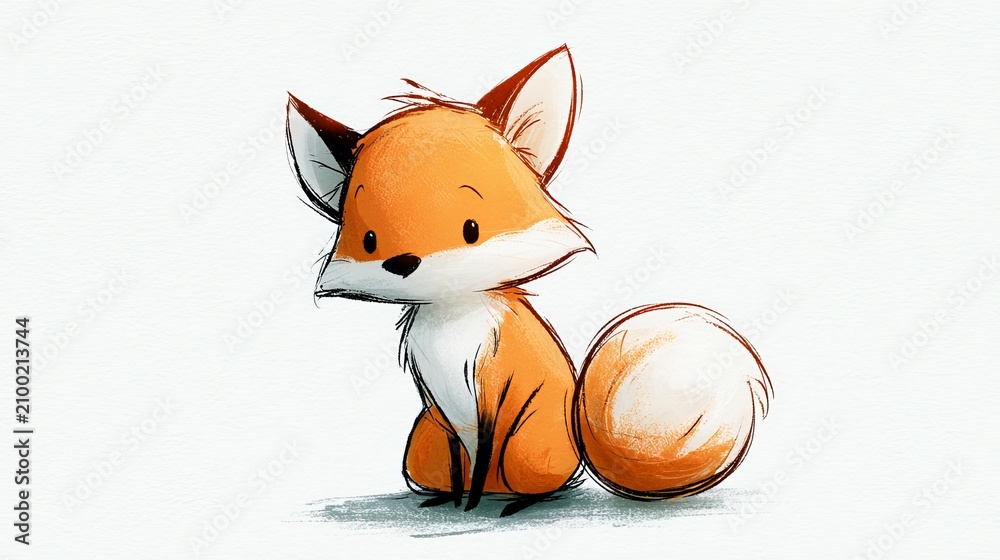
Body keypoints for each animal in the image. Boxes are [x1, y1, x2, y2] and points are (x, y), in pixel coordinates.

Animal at [285, 45, 772, 517]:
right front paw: (457, 502)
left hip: (525, 447)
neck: (451, 325)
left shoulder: (493, 392)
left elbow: (481, 457)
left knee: (536, 482)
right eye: (370, 240)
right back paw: (448, 496)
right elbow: (460, 465)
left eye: (471, 229)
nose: (404, 262)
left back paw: (515, 501)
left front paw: (470, 508)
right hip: (422, 442)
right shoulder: (439, 409)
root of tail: (580, 444)